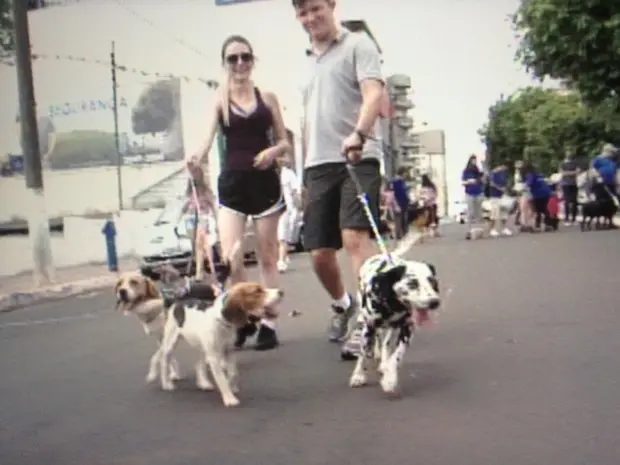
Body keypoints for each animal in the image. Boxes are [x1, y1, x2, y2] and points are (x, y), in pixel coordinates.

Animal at [348, 250, 440, 396]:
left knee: (385, 343)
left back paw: (383, 362)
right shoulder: (369, 327)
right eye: (412, 283)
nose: (434, 302)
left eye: (432, 281)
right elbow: (364, 354)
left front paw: (390, 379)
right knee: (376, 338)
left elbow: (396, 356)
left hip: (391, 328)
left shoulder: (407, 330)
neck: (392, 304)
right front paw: (359, 375)